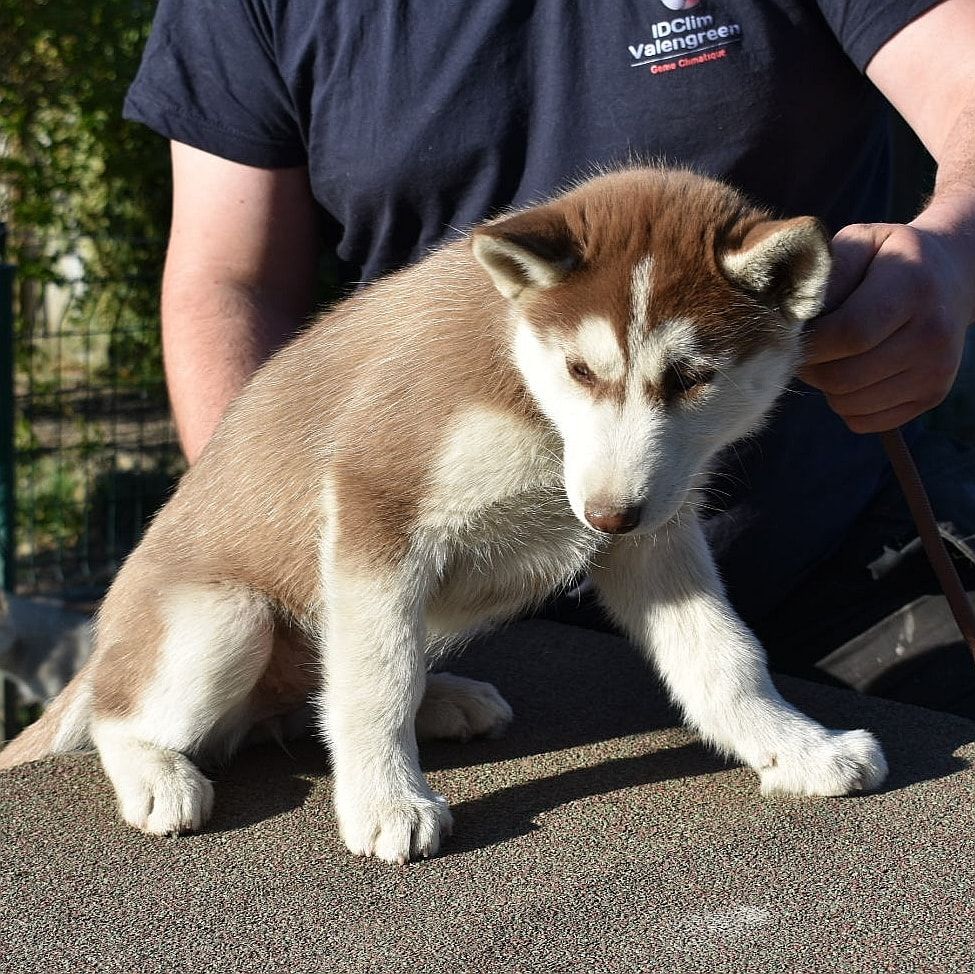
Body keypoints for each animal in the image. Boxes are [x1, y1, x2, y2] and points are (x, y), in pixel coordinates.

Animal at [0, 168, 884, 860]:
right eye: (579, 370)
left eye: (693, 378)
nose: (606, 515)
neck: (528, 393)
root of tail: (103, 642)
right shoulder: (374, 506)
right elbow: (375, 679)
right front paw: (385, 801)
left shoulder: (655, 535)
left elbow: (724, 656)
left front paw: (795, 747)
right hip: (226, 617)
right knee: (121, 714)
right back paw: (156, 772)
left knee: (311, 698)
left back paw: (443, 700)